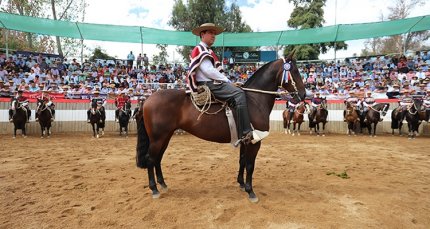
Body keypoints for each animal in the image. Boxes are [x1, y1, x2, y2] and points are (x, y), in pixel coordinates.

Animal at [135, 53, 306, 202]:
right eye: (294, 71)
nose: (304, 94)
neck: (254, 100)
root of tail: (147, 99)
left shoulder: (245, 140)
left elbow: (242, 161)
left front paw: (241, 183)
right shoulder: (254, 142)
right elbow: (250, 165)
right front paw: (250, 191)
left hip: (165, 136)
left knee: (158, 158)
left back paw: (163, 184)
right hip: (158, 138)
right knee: (150, 159)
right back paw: (154, 189)